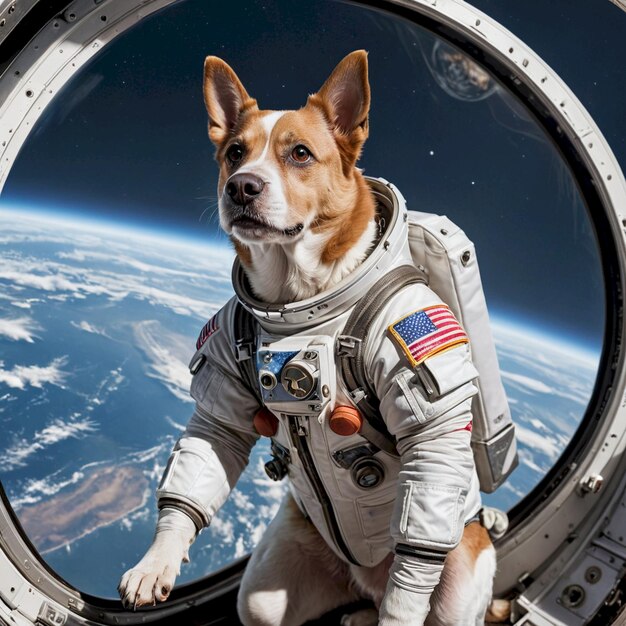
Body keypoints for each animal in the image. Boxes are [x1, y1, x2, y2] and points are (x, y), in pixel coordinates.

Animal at [118, 50, 508, 624]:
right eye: (235, 153)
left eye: (300, 153)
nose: (242, 186)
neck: (300, 301)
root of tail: (368, 576)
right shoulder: (225, 360)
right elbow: (214, 433)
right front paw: (156, 563)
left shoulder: (414, 339)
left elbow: (431, 446)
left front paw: (399, 611)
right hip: (284, 570)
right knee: (273, 603)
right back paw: (358, 611)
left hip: (459, 577)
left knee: (424, 595)